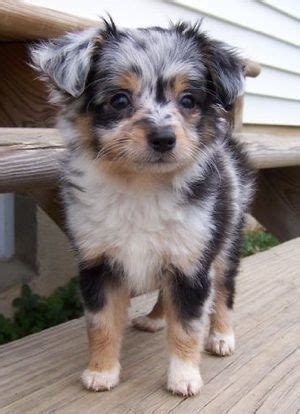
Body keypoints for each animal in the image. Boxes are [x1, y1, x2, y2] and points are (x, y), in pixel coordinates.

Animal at [31, 20, 254, 398]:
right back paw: (153, 319)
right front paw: (101, 372)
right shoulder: (98, 262)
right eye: (119, 99)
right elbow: (101, 324)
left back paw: (222, 337)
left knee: (225, 290)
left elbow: (187, 326)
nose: (164, 138)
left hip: (225, 240)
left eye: (188, 100)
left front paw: (183, 377)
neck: (141, 184)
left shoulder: (192, 262)